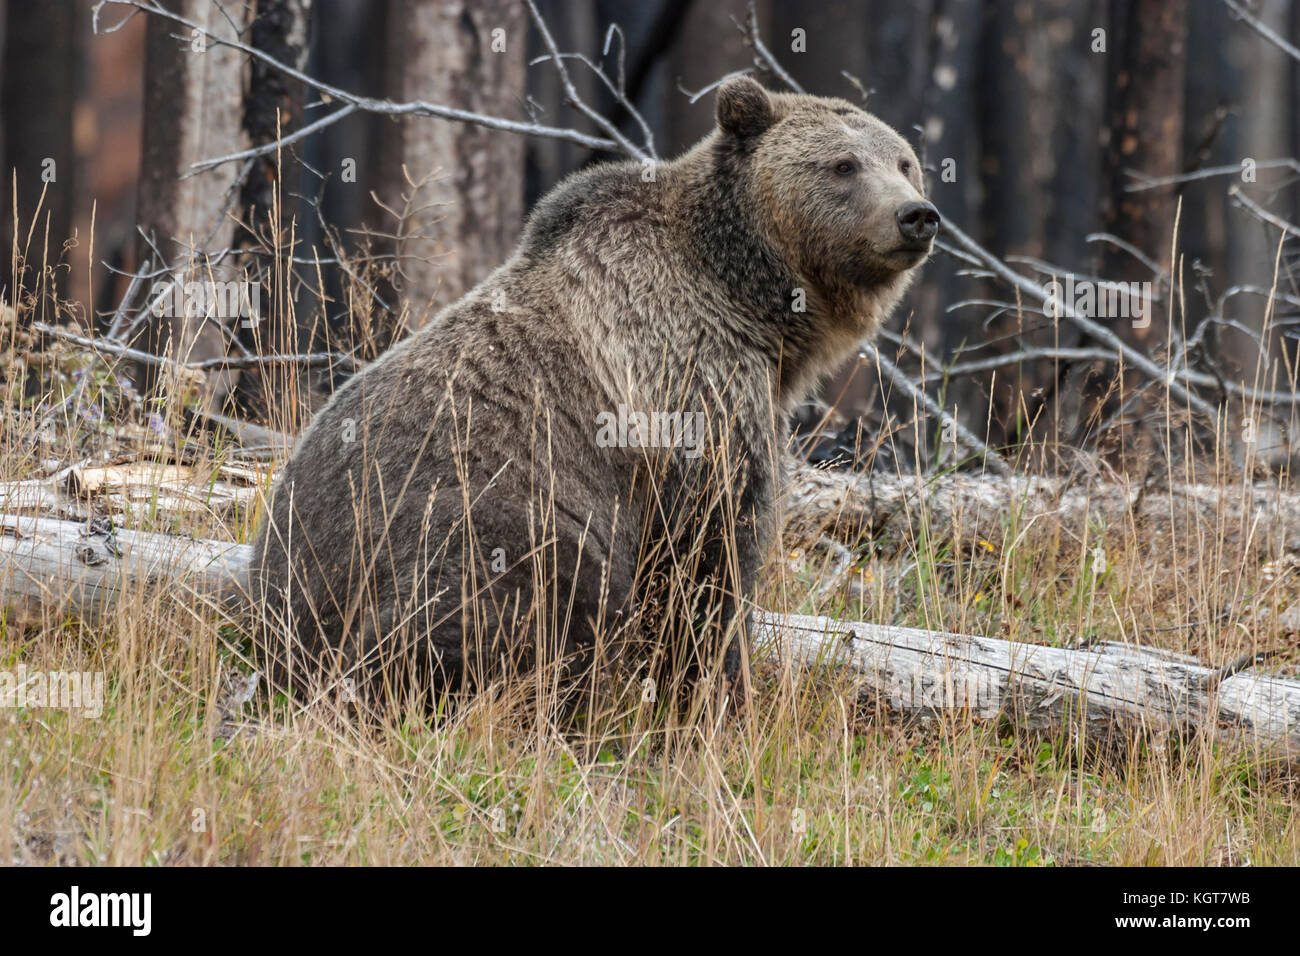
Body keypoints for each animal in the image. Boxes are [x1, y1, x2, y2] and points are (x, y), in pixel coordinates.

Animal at [249, 75, 938, 710]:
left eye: (905, 163)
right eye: (843, 165)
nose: (916, 216)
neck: (751, 303)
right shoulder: (688, 384)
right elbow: (710, 555)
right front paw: (719, 694)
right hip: (475, 528)